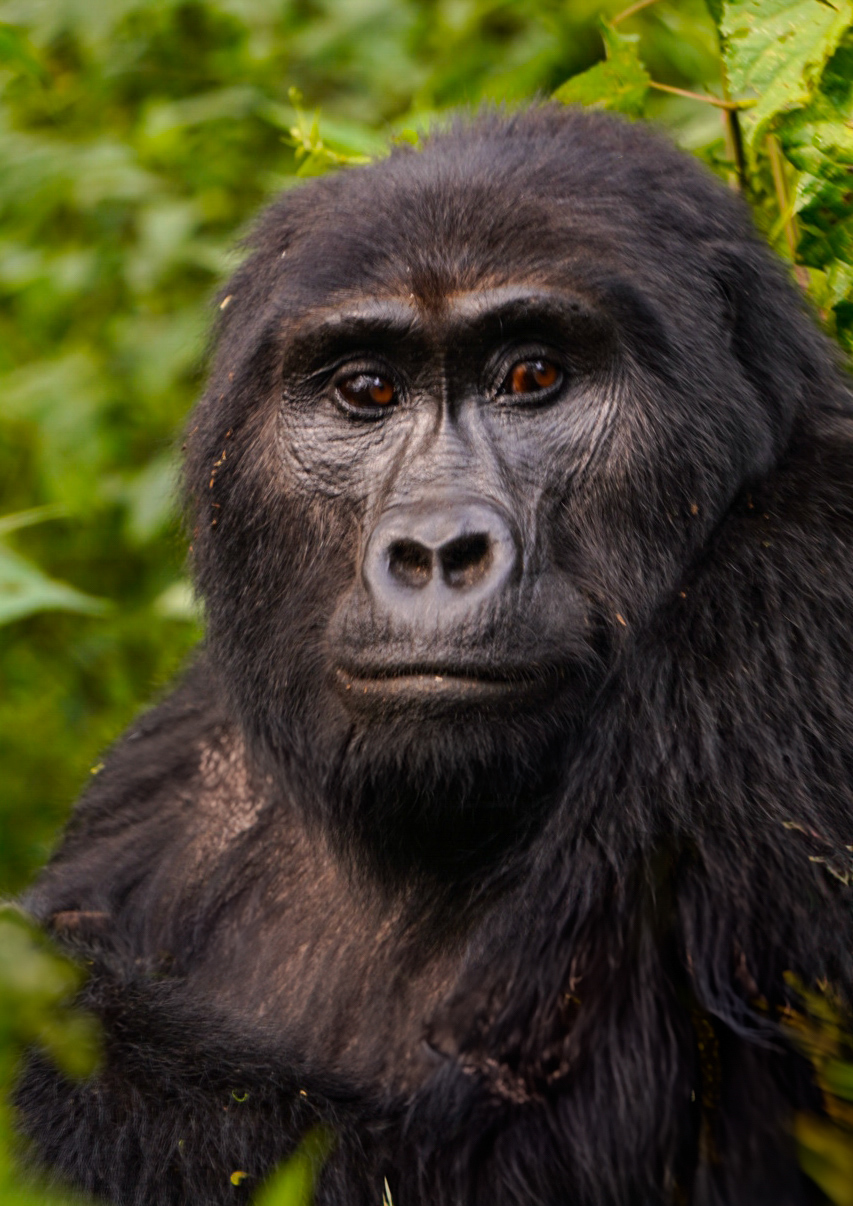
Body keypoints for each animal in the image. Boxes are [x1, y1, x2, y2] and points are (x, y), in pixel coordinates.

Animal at [15, 106, 853, 1206]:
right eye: (366, 390)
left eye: (534, 377)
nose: (436, 550)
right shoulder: (171, 757)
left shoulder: (805, 605)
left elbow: (541, 1159)